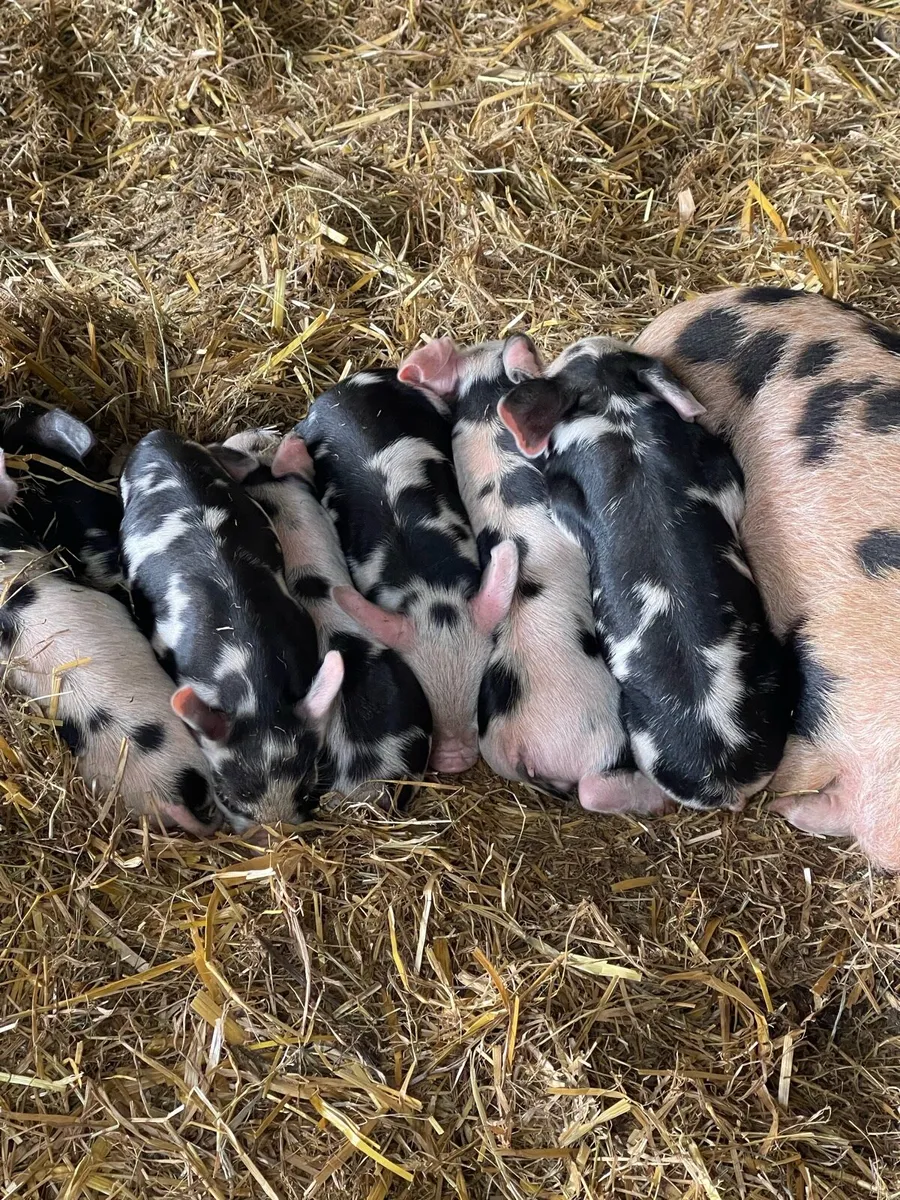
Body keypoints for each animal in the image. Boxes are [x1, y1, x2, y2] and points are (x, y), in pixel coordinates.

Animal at [397, 335, 670, 814]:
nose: (519, 337)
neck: (484, 406)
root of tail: (516, 748)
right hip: (598, 736)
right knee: (594, 787)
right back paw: (659, 799)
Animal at [498, 336, 793, 812]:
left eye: (561, 358)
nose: (518, 342)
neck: (616, 410)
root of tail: (726, 783)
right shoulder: (716, 464)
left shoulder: (564, 493)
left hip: (634, 726)